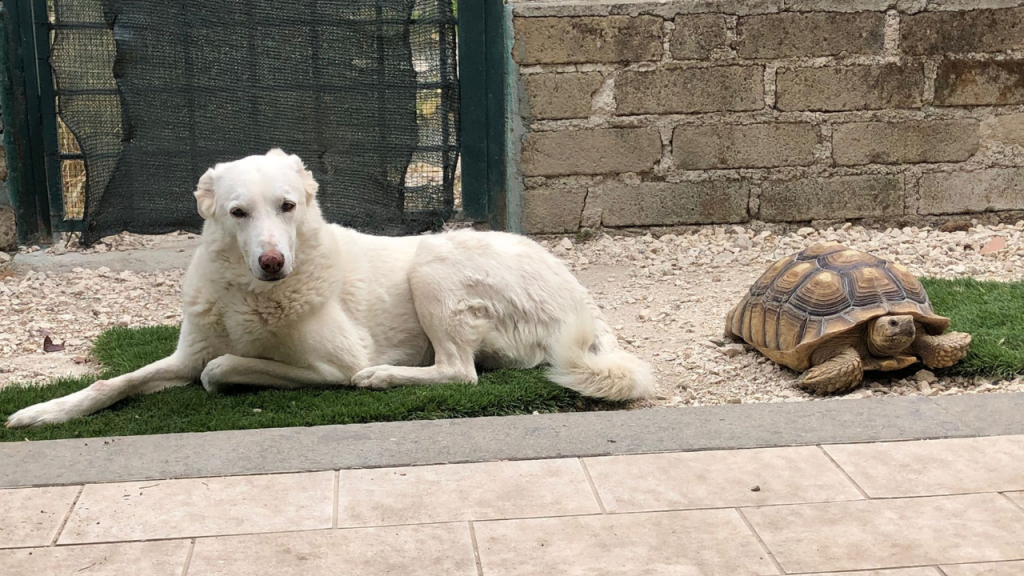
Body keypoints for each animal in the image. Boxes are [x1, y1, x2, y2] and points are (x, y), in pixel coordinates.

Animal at [4, 147, 651, 426]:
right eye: (238, 213)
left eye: (287, 207)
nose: (271, 261)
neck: (253, 296)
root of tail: (582, 300)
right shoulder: (185, 354)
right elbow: (114, 381)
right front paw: (46, 410)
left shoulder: (332, 364)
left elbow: (221, 369)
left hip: (433, 266)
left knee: (458, 372)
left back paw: (385, 378)